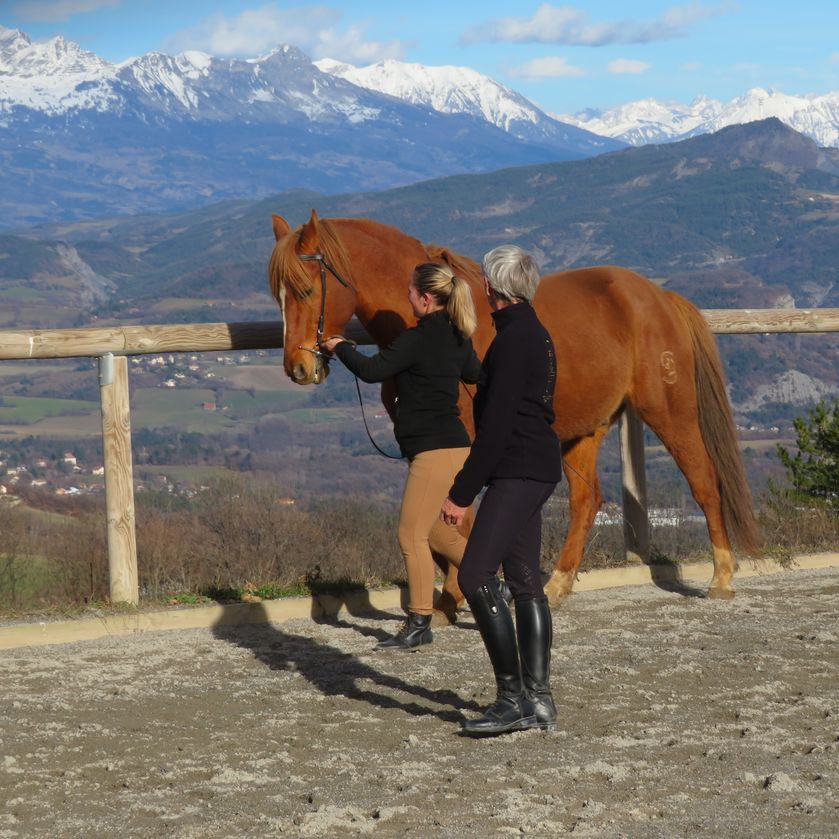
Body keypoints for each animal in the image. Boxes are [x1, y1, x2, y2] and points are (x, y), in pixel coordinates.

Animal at [268, 210, 761, 608]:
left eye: (306, 289)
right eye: (278, 295)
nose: (298, 367)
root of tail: (659, 299)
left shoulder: (467, 441)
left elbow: (460, 515)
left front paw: (457, 597)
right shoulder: (427, 444)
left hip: (670, 413)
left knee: (704, 481)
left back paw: (721, 577)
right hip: (584, 430)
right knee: (587, 502)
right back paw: (557, 586)